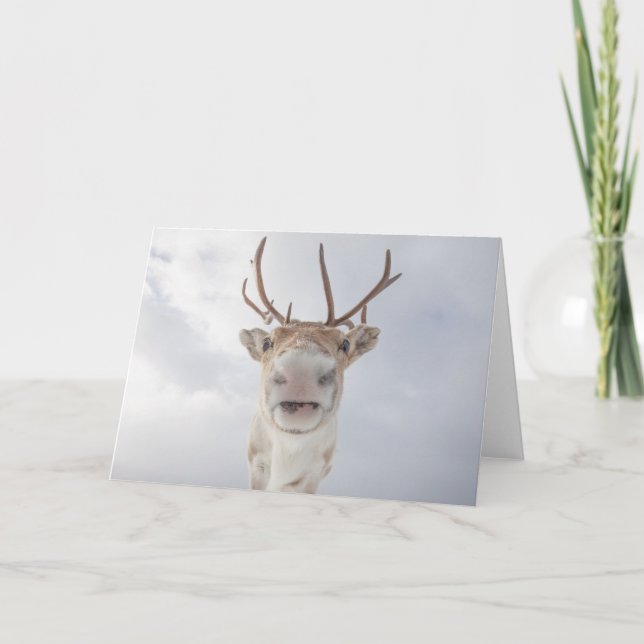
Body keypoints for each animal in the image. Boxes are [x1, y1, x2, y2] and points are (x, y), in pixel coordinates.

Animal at [238, 236, 402, 495]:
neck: (287, 455)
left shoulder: (314, 475)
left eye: (345, 343)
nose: (301, 371)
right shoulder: (256, 463)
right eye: (266, 342)